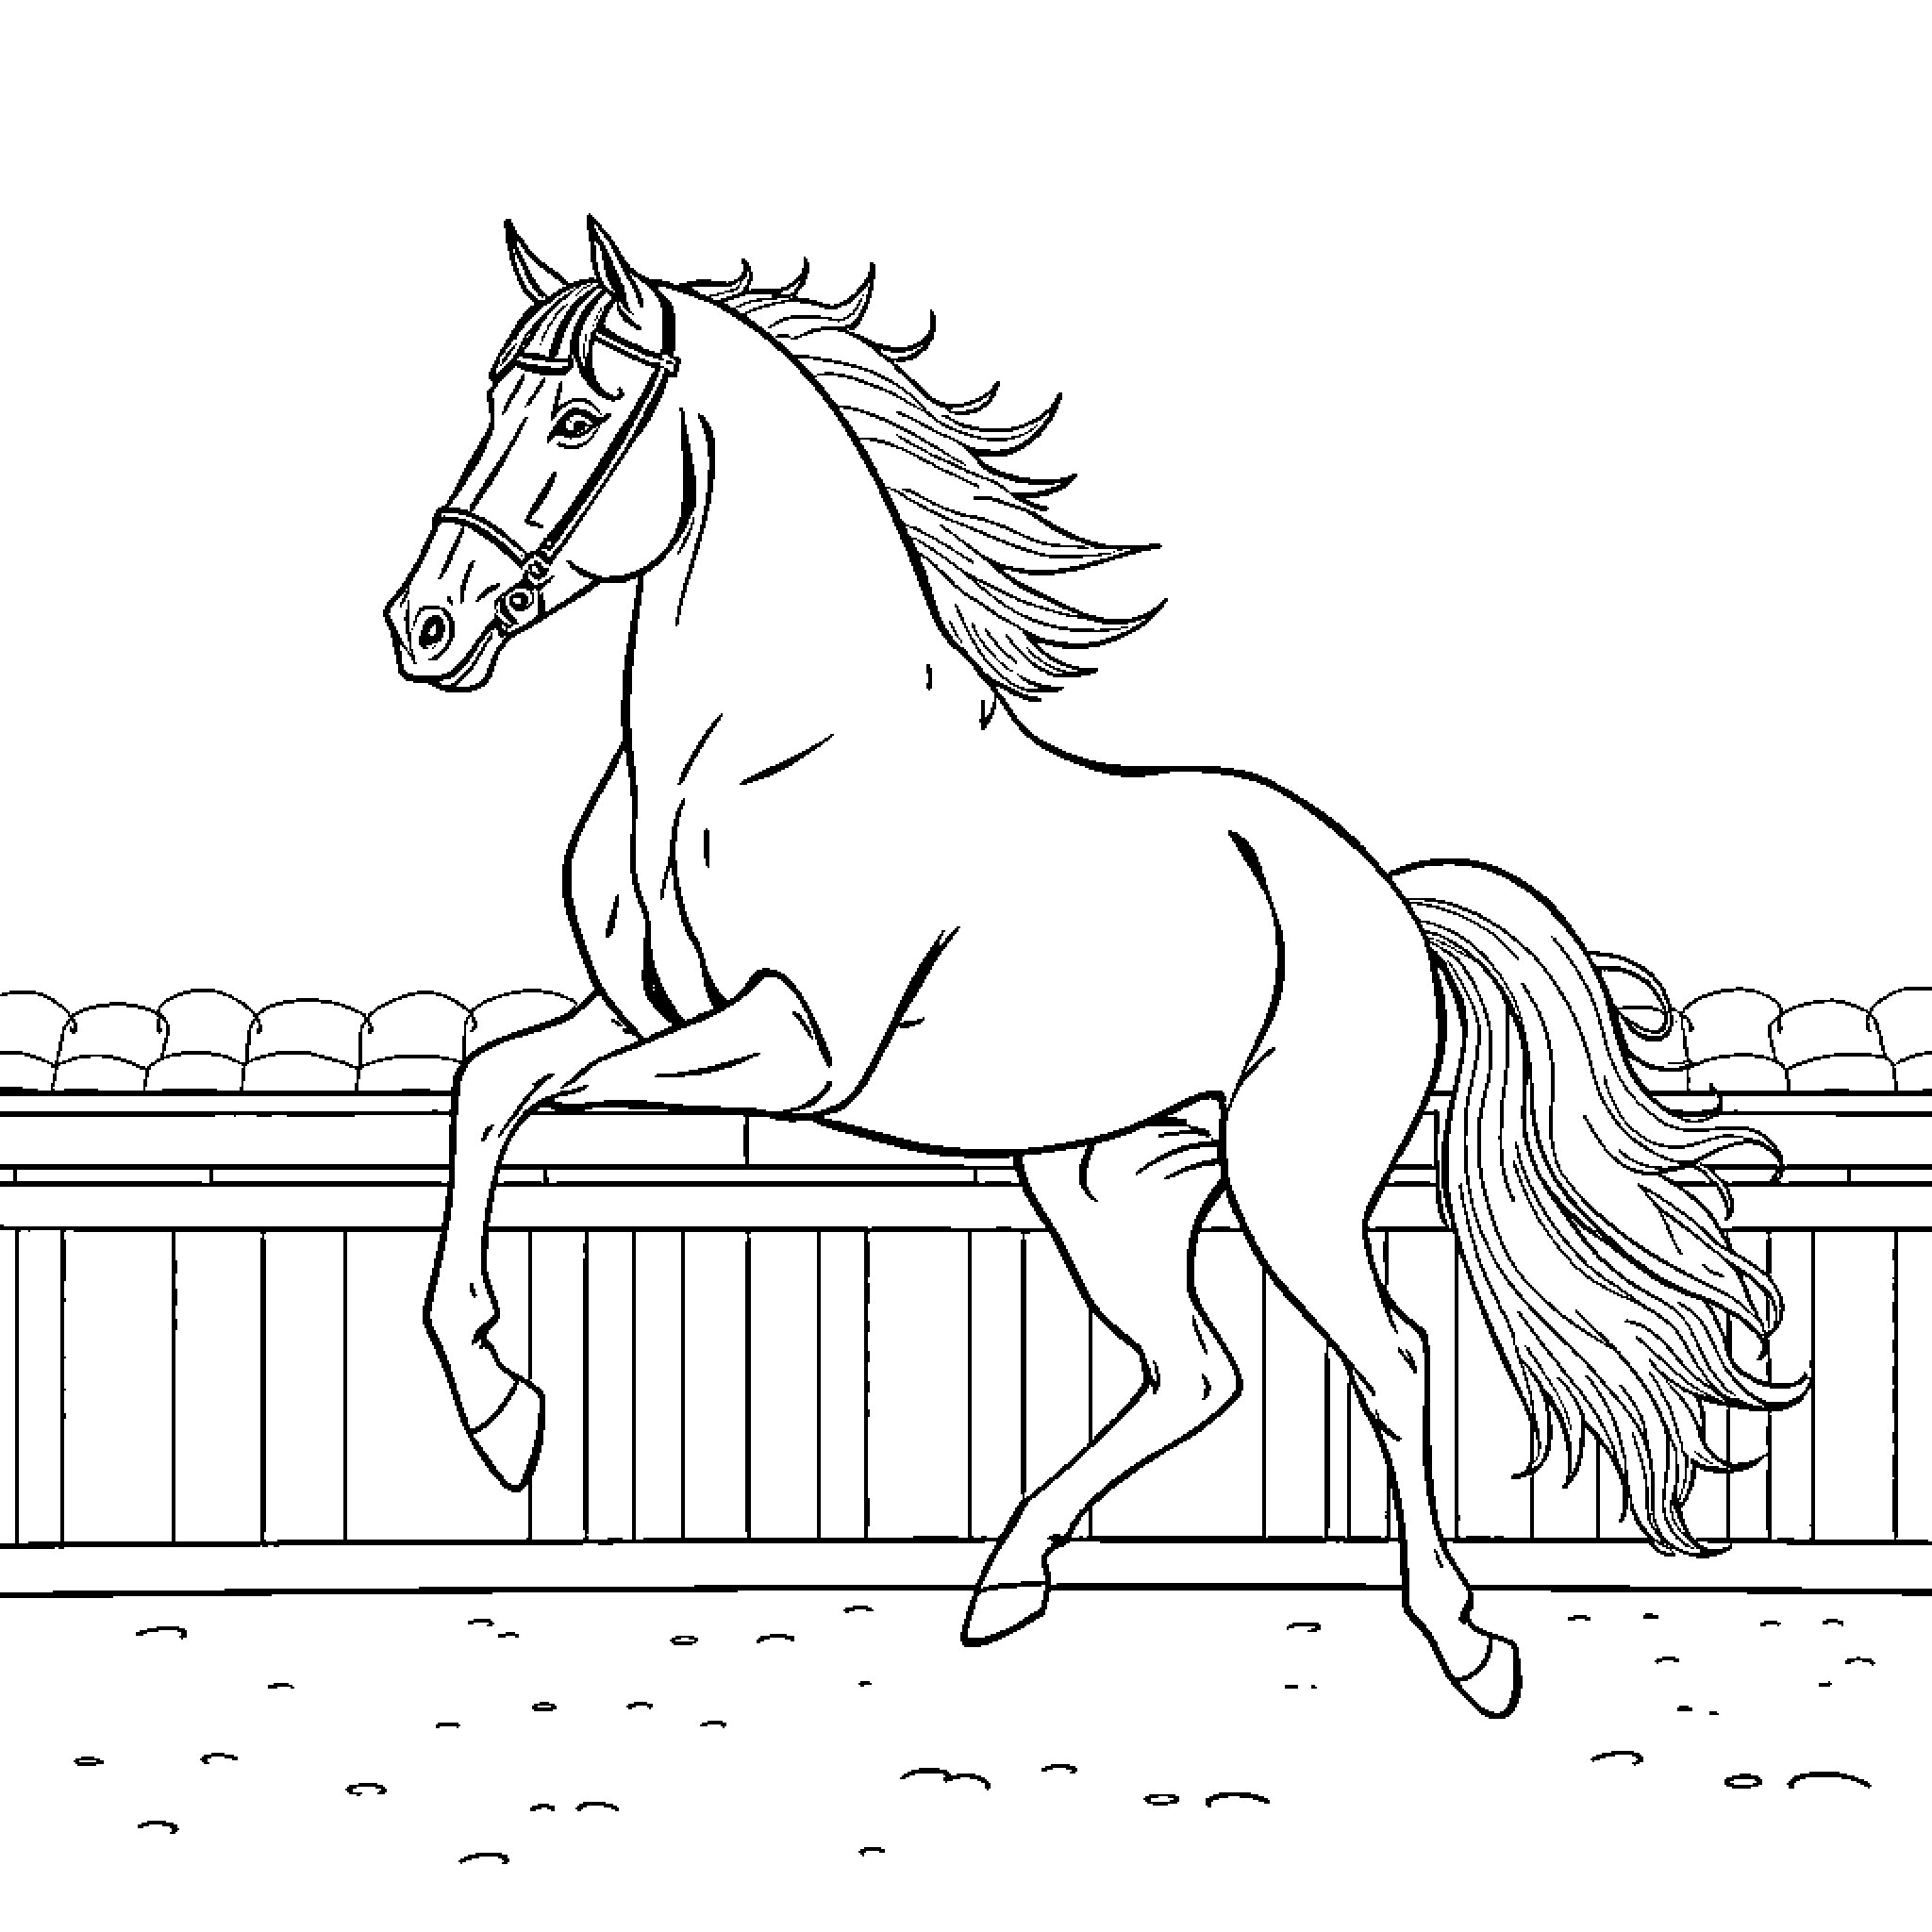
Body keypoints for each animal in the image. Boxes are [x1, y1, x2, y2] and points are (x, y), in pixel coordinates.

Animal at [384, 216, 1803, 1718]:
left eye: (576, 418)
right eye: (490, 400)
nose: (424, 626)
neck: (748, 755)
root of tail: (1386, 902)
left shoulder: (793, 1049)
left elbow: (530, 1094)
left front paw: (503, 1411)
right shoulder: (638, 1013)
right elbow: (492, 1084)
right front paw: (498, 1410)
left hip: (1290, 1181)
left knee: (1391, 1358)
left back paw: (1466, 1643)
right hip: (1106, 1180)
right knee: (1195, 1373)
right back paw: (1004, 1583)